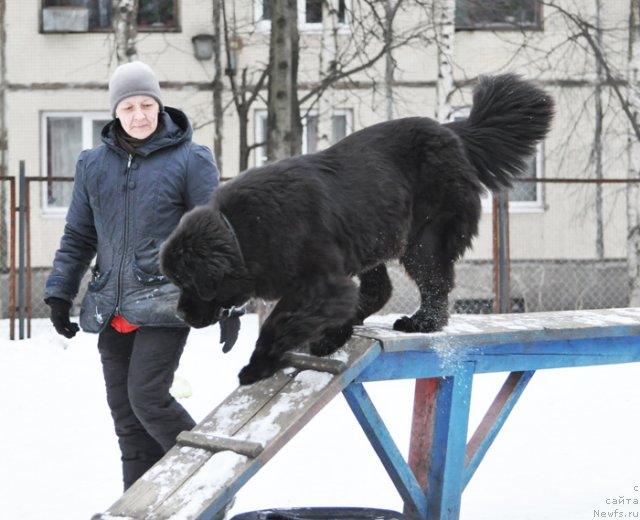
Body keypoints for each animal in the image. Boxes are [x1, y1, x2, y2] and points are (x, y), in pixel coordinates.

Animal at [161, 75, 556, 386]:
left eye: (188, 282)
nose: (179, 315)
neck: (240, 235)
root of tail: (453, 132)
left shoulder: (320, 283)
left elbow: (280, 322)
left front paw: (256, 367)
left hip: (422, 241)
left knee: (434, 285)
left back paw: (420, 323)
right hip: (371, 237)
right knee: (380, 290)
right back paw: (341, 332)